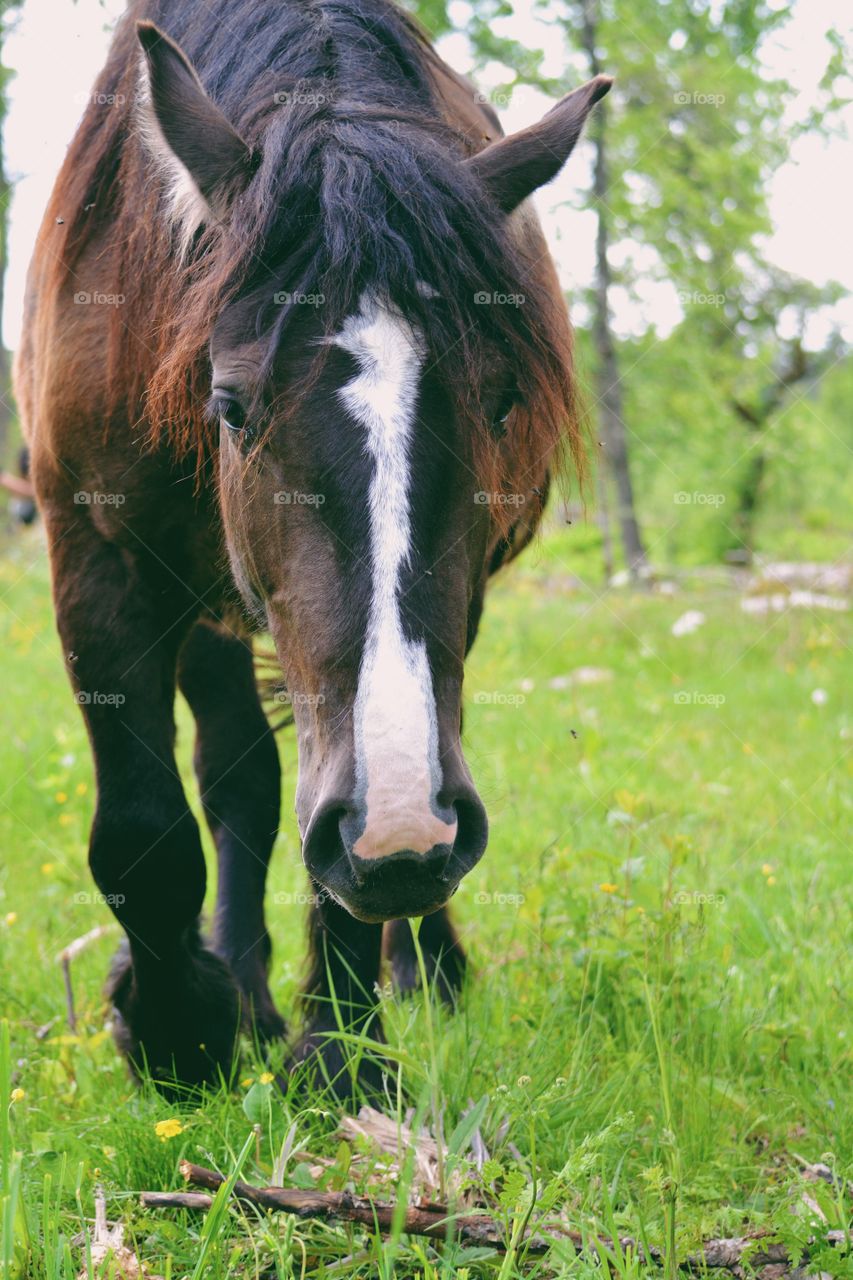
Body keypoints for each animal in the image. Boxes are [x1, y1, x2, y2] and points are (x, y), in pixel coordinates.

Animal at [16, 0, 607, 1100]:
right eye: (231, 404)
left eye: (502, 403)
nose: (407, 836)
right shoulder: (94, 550)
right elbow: (145, 827)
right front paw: (179, 1031)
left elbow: (344, 841)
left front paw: (341, 1055)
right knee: (238, 776)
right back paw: (243, 988)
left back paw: (422, 967)